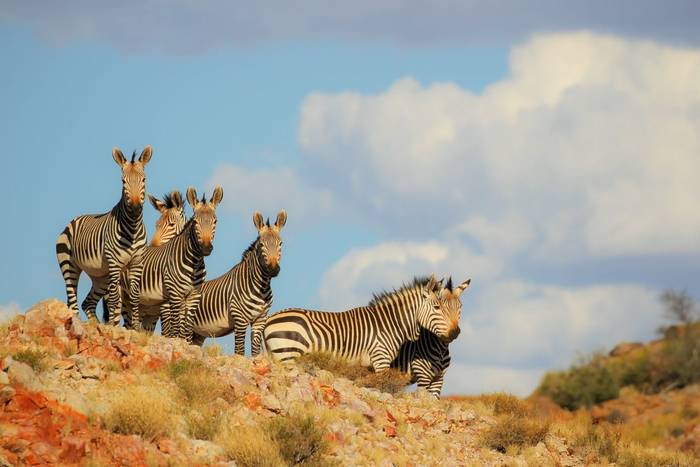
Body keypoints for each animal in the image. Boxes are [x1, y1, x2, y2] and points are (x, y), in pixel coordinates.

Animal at [56, 146, 152, 326]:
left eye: (144, 180)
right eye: (123, 182)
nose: (136, 208)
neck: (133, 227)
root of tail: (73, 220)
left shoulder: (137, 262)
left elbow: (135, 296)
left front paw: (135, 327)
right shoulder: (114, 263)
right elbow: (114, 298)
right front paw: (113, 325)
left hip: (100, 276)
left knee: (87, 303)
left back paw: (96, 325)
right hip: (69, 265)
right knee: (73, 302)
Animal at [121, 186, 222, 337]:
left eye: (215, 222)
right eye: (195, 222)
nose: (205, 248)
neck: (195, 262)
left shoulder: (193, 296)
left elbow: (186, 329)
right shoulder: (172, 296)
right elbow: (172, 327)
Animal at [185, 210, 286, 354]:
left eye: (280, 244)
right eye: (261, 245)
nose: (273, 269)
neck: (262, 286)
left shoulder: (260, 320)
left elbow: (255, 353)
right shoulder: (240, 319)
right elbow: (239, 351)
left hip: (198, 333)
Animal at [263, 275, 465, 372]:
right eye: (437, 307)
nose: (455, 333)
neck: (389, 324)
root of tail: (269, 320)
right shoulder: (380, 359)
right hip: (287, 355)